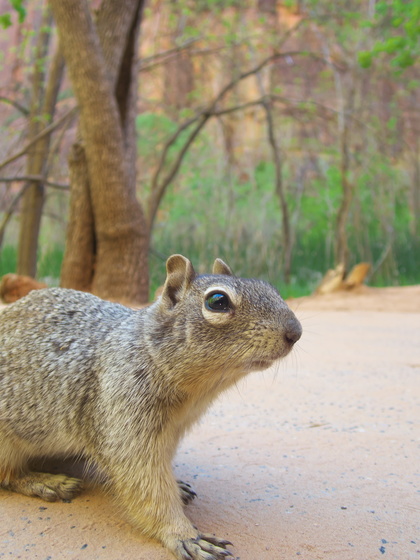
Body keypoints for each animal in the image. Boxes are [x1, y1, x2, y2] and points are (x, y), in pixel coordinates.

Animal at [0, 255, 302, 560]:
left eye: (271, 288)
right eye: (217, 301)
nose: (296, 332)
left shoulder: (171, 431)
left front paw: (176, 486)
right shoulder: (123, 418)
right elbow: (145, 485)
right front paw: (185, 536)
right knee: (9, 475)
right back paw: (47, 482)